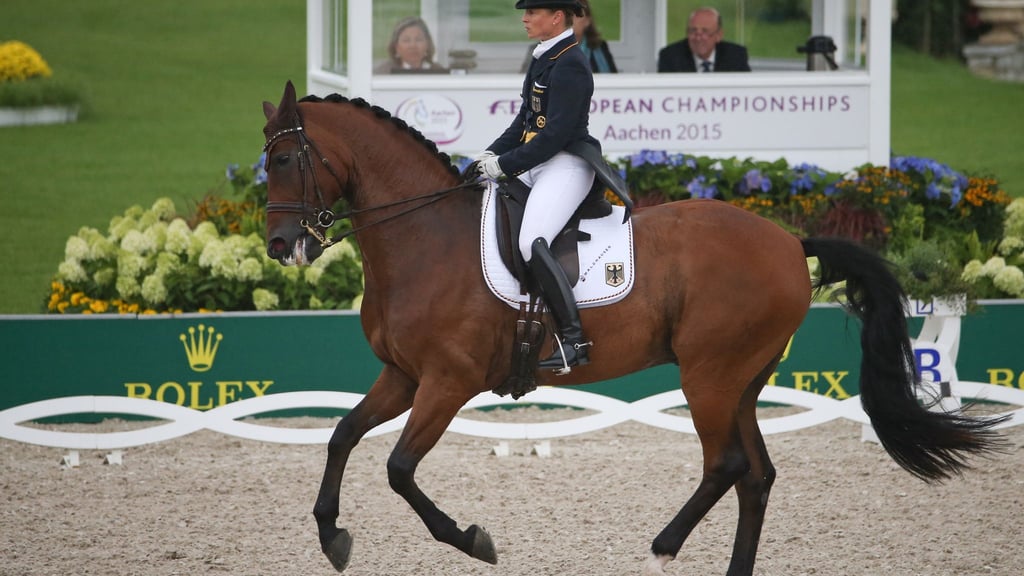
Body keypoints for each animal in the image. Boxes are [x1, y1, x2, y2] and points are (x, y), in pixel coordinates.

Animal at [260, 81, 1005, 575]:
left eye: (288, 161)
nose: (279, 247)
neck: (424, 239)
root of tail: (791, 243)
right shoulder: (402, 375)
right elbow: (341, 436)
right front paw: (331, 536)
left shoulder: (447, 381)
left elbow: (398, 468)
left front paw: (472, 539)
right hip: (740, 380)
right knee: (756, 475)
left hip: (709, 375)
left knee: (727, 465)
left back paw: (663, 545)